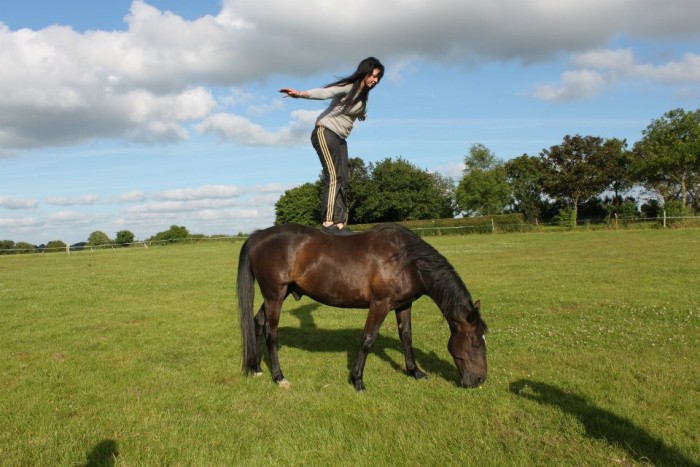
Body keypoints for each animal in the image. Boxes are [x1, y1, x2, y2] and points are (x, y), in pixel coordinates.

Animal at [237, 223, 487, 391]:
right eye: (475, 342)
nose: (480, 380)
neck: (406, 260)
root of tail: (258, 236)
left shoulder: (404, 305)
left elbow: (406, 337)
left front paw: (414, 371)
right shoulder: (380, 304)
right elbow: (367, 339)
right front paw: (357, 380)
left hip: (280, 294)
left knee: (257, 322)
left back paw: (257, 368)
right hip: (275, 295)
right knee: (271, 333)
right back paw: (279, 376)